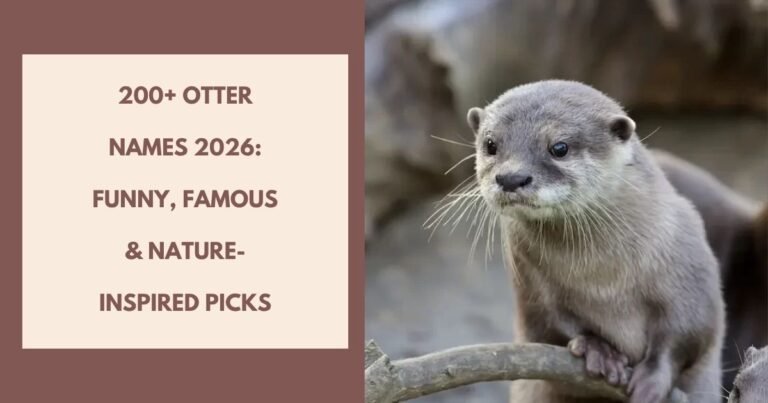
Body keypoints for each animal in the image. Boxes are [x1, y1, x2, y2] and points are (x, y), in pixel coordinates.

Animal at [465, 80, 725, 403]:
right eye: (490, 144)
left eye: (559, 148)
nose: (511, 178)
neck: (604, 282)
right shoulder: (531, 281)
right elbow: (548, 325)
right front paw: (598, 350)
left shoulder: (688, 262)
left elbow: (689, 332)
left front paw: (652, 379)